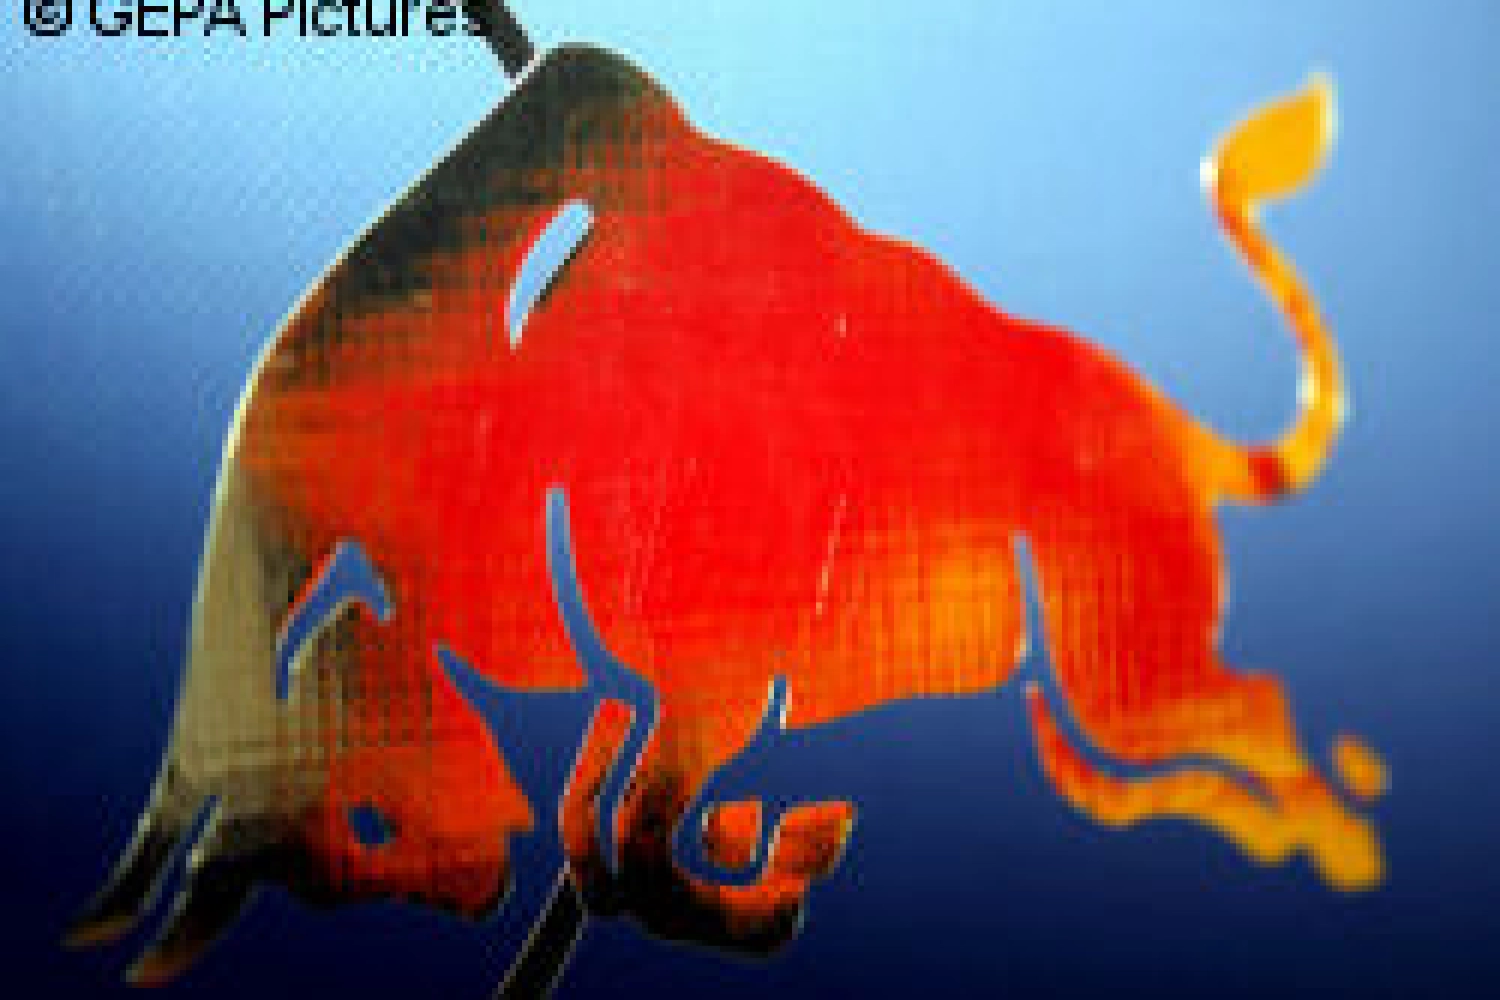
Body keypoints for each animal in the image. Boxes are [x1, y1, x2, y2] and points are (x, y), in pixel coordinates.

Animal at [66, 33, 1385, 995]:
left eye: (366, 813)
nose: (474, 875)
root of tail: (1172, 432)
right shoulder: (653, 687)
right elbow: (612, 833)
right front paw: (750, 855)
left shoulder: (717, 675)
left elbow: (650, 855)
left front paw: (775, 859)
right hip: (1106, 669)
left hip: (1120, 666)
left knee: (1247, 716)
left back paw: (1333, 840)